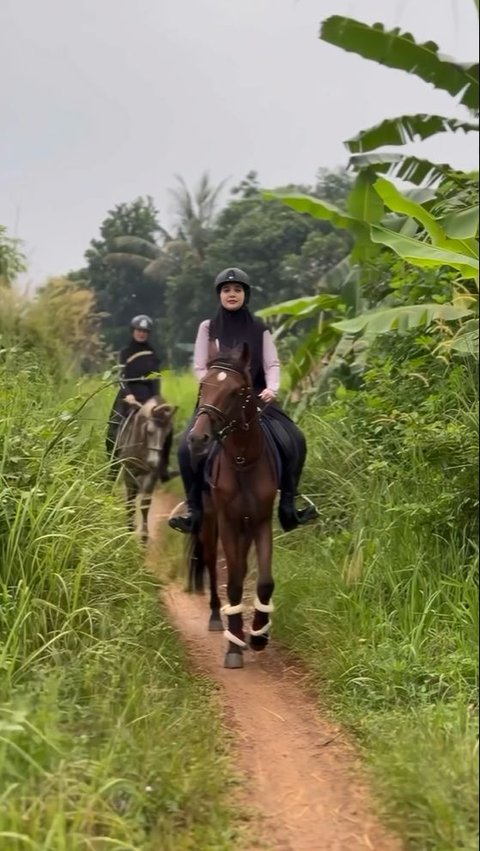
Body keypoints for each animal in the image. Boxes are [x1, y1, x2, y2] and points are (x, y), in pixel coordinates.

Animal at [188, 346, 278, 672]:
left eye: (237, 391)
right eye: (204, 385)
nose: (197, 438)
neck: (242, 460)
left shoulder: (261, 520)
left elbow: (264, 581)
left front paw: (258, 635)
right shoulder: (227, 521)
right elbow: (235, 581)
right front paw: (234, 645)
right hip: (209, 522)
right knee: (213, 566)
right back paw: (218, 618)